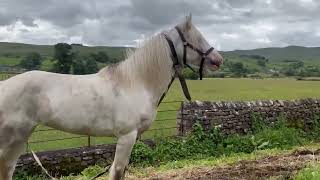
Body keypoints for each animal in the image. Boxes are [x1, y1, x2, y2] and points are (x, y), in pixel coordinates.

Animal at [0, 14, 224, 179]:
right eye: (195, 39)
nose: (218, 60)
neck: (136, 83)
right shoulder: (127, 137)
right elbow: (116, 171)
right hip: (11, 139)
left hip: (19, 139)